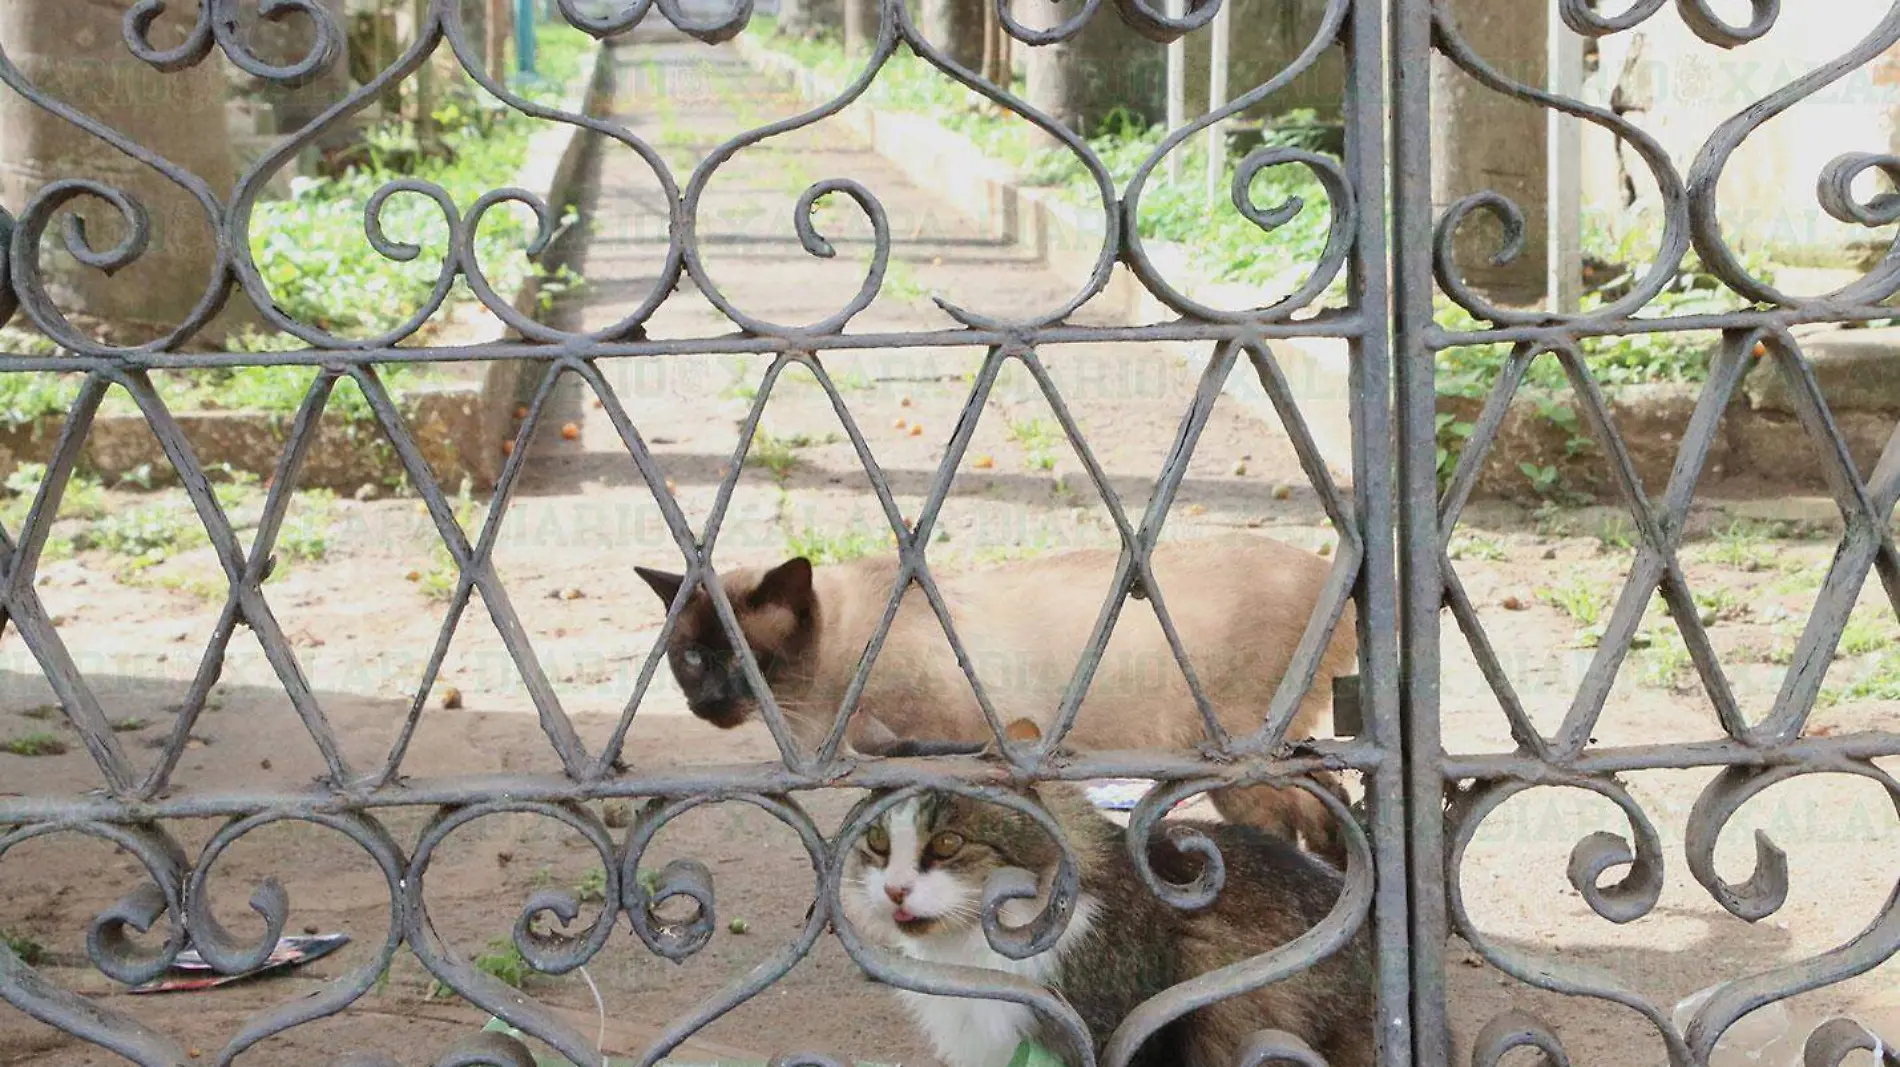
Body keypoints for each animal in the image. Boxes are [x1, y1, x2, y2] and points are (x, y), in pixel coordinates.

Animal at [638, 531, 1352, 854]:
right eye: (693, 658)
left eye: (747, 660)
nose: (710, 704)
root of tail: (1328, 567)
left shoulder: (954, 748)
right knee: (1327, 802)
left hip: (1236, 759)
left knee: (1301, 814)